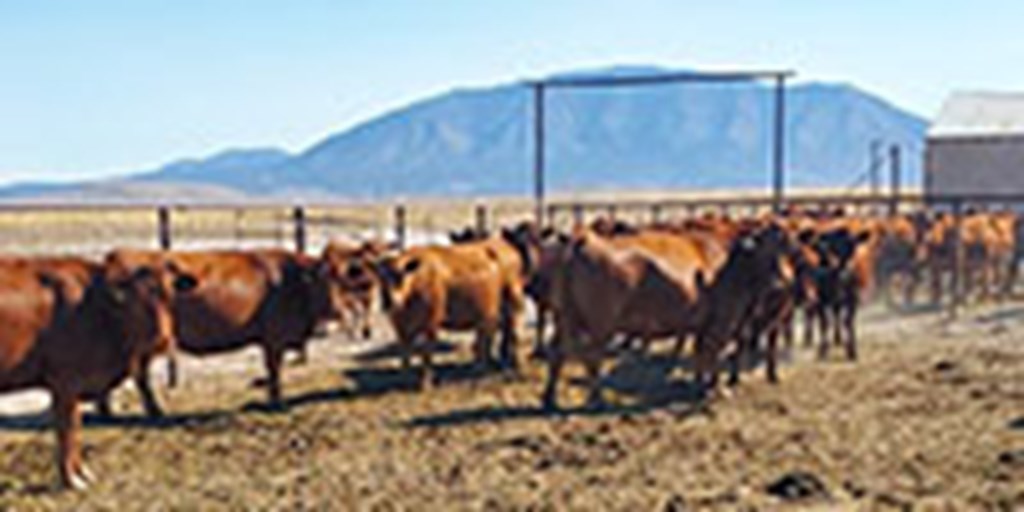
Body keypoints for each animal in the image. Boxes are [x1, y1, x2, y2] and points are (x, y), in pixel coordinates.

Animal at [0, 256, 195, 487]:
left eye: (171, 295)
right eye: (136, 300)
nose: (162, 340)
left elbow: (75, 427)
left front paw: (82, 472)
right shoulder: (65, 380)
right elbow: (67, 429)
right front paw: (71, 479)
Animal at [99, 248, 333, 415]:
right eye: (321, 284)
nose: (326, 326)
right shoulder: (275, 338)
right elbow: (274, 369)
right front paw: (278, 403)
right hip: (143, 341)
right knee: (139, 375)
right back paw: (152, 412)